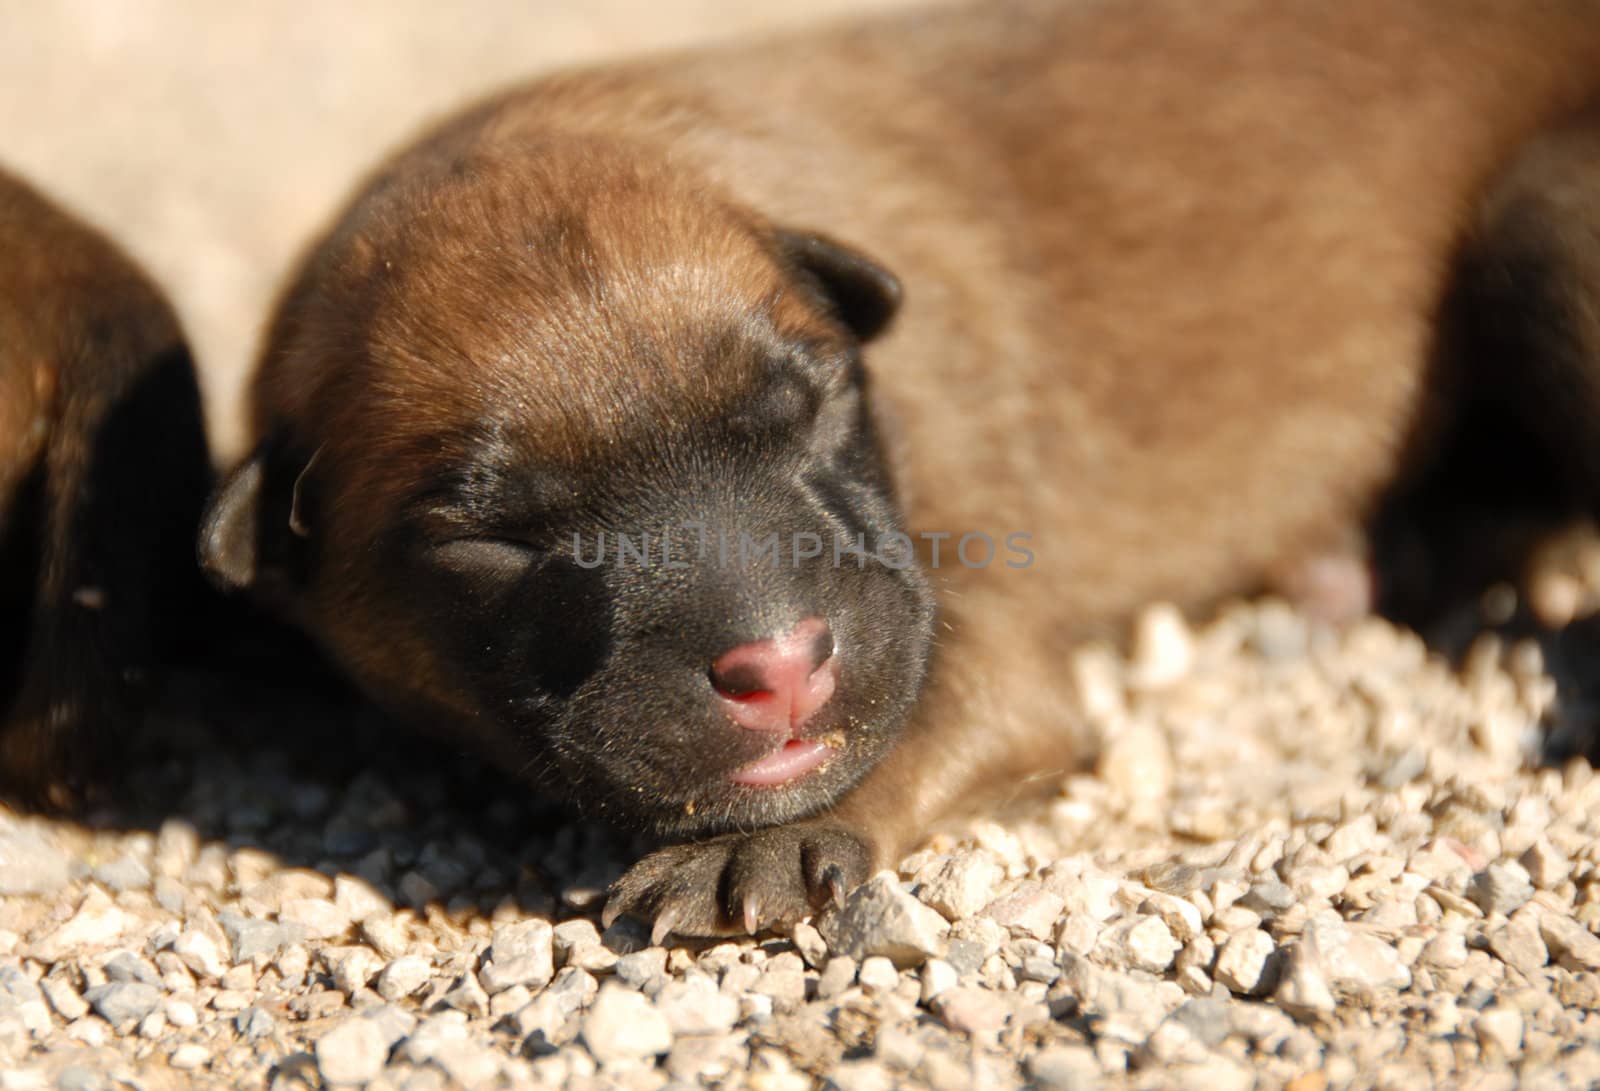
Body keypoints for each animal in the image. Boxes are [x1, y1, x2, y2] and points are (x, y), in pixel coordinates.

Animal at [200, 2, 1600, 934]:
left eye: (810, 407)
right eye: (489, 535)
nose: (777, 665)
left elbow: (940, 700)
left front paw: (781, 841)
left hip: (1543, 223)